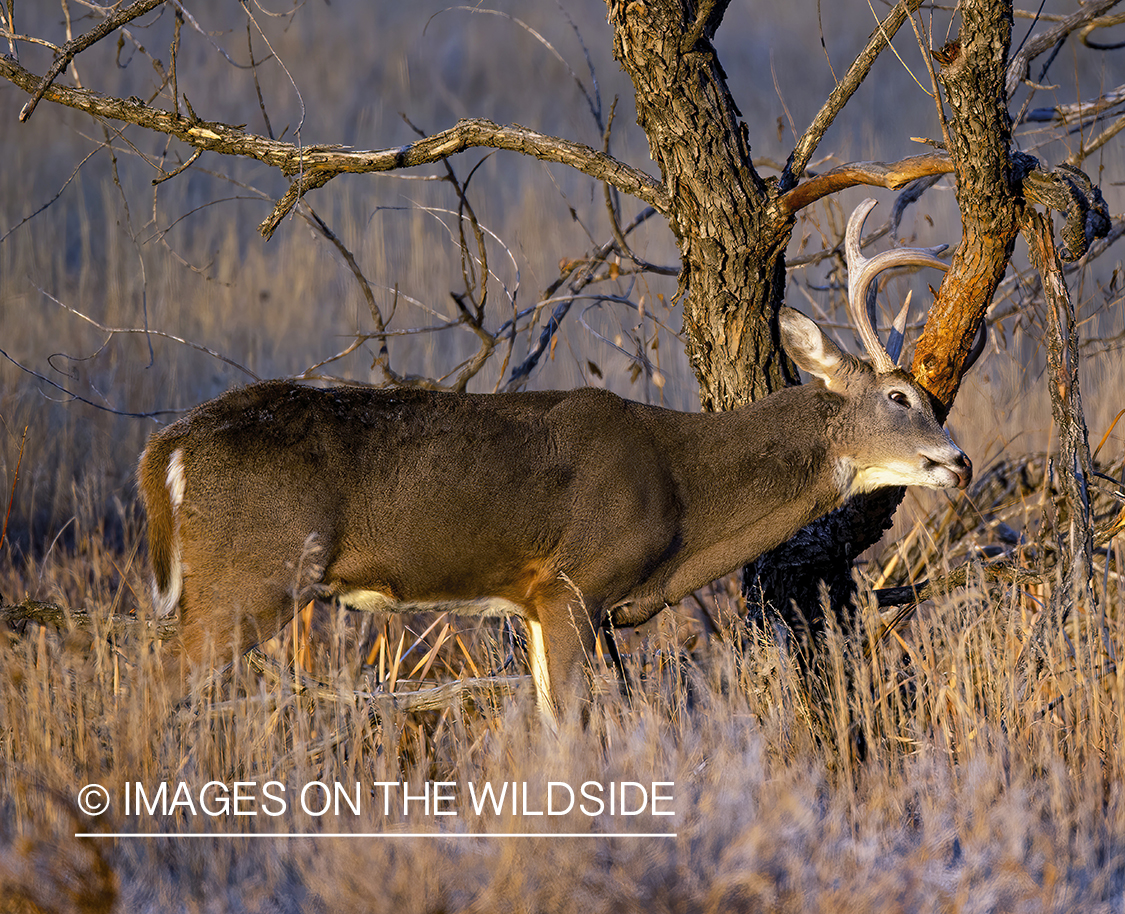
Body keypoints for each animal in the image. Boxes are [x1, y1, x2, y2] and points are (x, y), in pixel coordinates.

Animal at [136, 200, 972, 720]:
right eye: (900, 397)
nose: (959, 463)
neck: (682, 493)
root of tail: (164, 450)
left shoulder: (533, 600)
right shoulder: (574, 583)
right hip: (253, 573)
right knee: (147, 692)